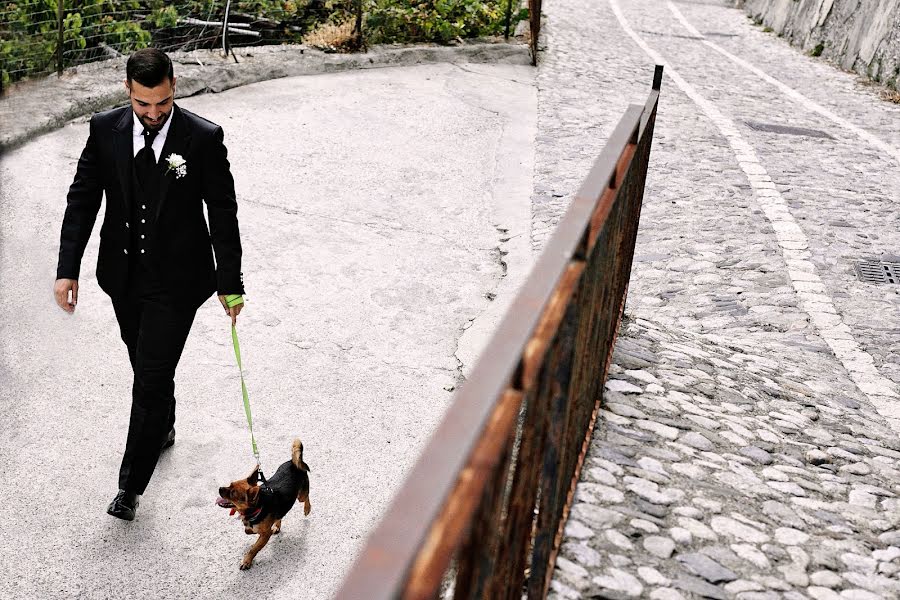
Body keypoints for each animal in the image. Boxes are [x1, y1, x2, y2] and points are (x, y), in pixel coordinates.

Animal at [218, 438, 312, 568]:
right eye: (229, 484)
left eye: (232, 493)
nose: (219, 488)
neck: (257, 507)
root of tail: (293, 463)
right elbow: (249, 530)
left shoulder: (265, 535)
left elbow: (254, 548)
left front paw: (247, 561)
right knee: (279, 515)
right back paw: (277, 526)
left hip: (301, 496)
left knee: (306, 497)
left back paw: (307, 509)